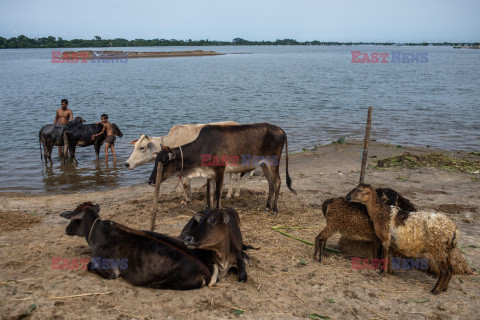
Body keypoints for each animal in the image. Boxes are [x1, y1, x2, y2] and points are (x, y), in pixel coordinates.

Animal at [59, 202, 211, 290]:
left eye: (74, 218)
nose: (66, 229)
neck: (96, 234)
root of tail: (205, 271)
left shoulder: (110, 271)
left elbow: (89, 265)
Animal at [148, 123, 296, 215]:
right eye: (155, 161)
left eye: (164, 162)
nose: (150, 181)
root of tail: (281, 130)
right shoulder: (209, 174)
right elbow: (209, 193)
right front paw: (209, 209)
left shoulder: (220, 170)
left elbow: (217, 192)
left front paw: (218, 210)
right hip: (264, 164)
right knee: (270, 183)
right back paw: (266, 207)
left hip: (273, 162)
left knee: (278, 182)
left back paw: (274, 209)